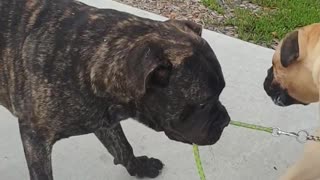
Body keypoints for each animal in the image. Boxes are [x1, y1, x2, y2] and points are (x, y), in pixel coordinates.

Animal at [0, 0, 230, 180]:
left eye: (221, 91)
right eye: (203, 103)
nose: (226, 121)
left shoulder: (103, 119)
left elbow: (122, 145)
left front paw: (138, 167)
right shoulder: (35, 138)